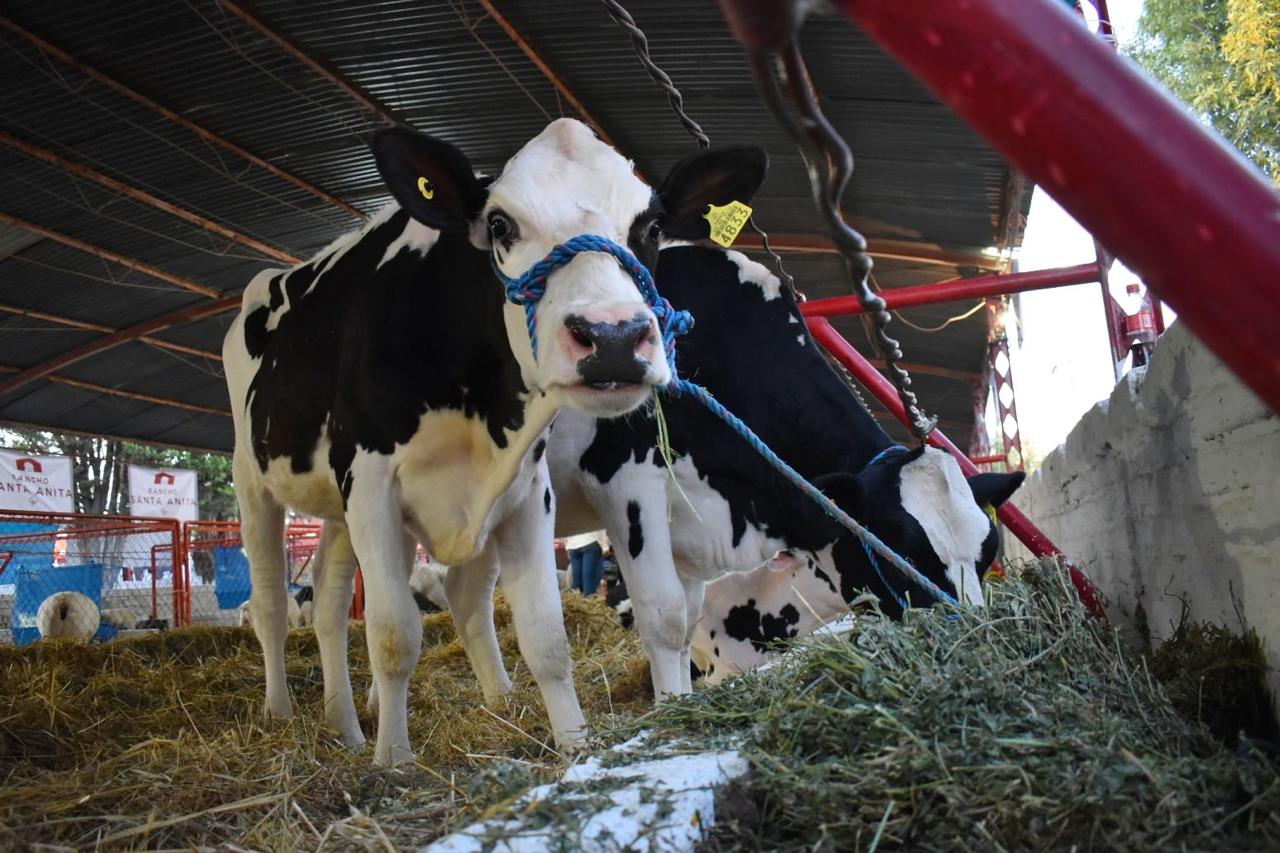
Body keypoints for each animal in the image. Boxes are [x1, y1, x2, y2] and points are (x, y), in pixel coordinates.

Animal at [225, 118, 766, 765]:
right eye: (502, 224)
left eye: (654, 225)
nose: (612, 337)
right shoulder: (372, 485)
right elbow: (392, 635)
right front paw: (393, 762)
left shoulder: (528, 490)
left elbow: (546, 638)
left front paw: (574, 744)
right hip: (253, 478)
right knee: (273, 607)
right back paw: (281, 711)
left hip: (334, 507)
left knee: (329, 607)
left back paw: (346, 726)